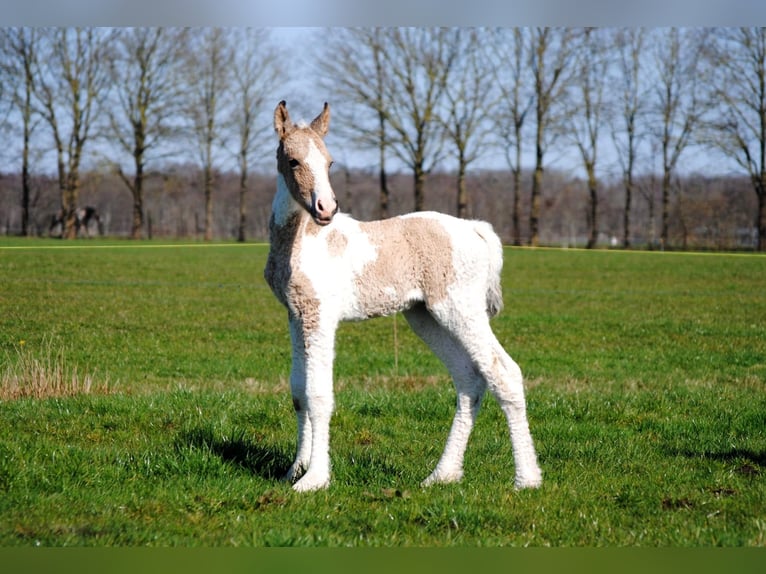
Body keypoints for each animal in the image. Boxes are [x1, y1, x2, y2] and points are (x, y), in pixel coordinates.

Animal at [264, 100, 542, 492]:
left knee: (504, 373)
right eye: (293, 161)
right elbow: (299, 392)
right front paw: (294, 469)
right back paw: (442, 475)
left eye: (330, 162)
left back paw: (526, 479)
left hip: (460, 309)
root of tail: (476, 229)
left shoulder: (321, 318)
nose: (325, 209)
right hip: (426, 317)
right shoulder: (296, 315)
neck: (305, 241)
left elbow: (319, 395)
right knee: (469, 380)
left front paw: (314, 480)